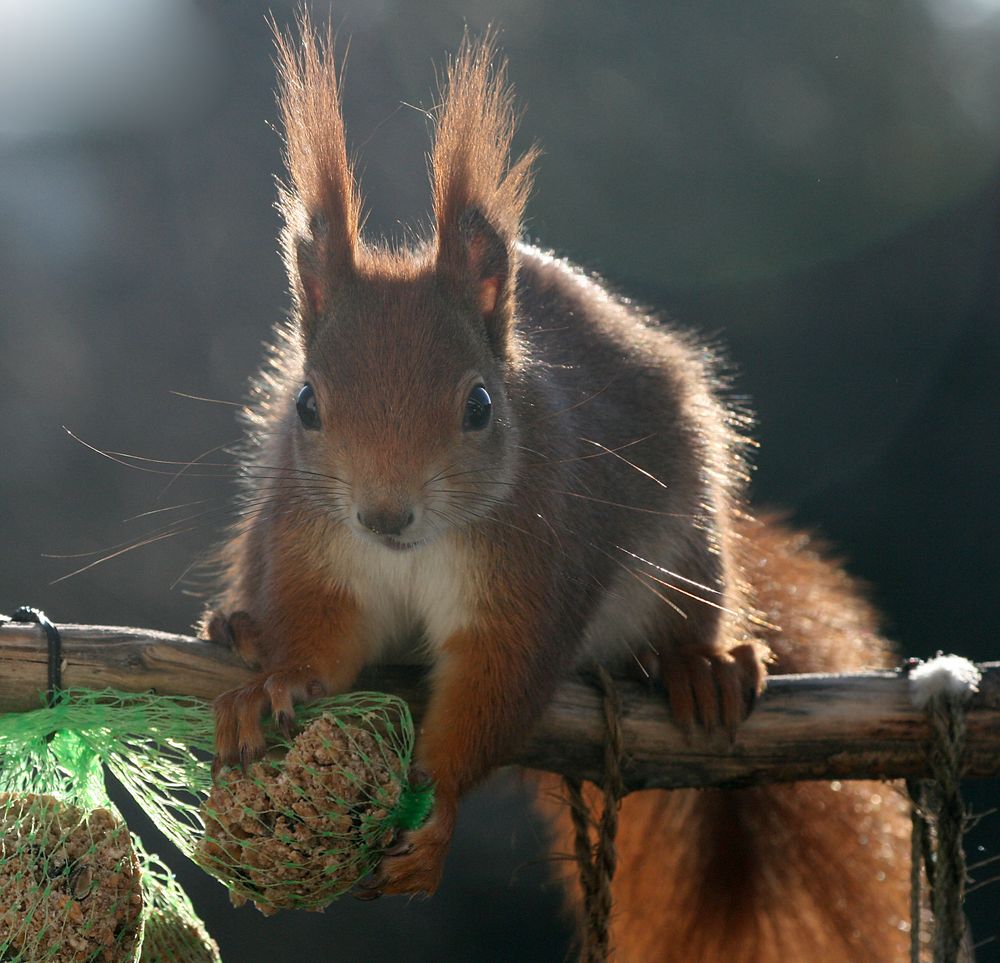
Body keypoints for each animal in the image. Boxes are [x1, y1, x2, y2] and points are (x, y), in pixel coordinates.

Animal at [205, 17, 920, 963]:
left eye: (480, 404)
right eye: (305, 403)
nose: (384, 513)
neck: (417, 549)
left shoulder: (537, 568)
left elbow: (499, 683)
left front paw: (438, 811)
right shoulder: (309, 545)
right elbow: (321, 634)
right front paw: (276, 681)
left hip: (689, 527)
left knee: (694, 604)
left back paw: (703, 666)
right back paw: (236, 625)